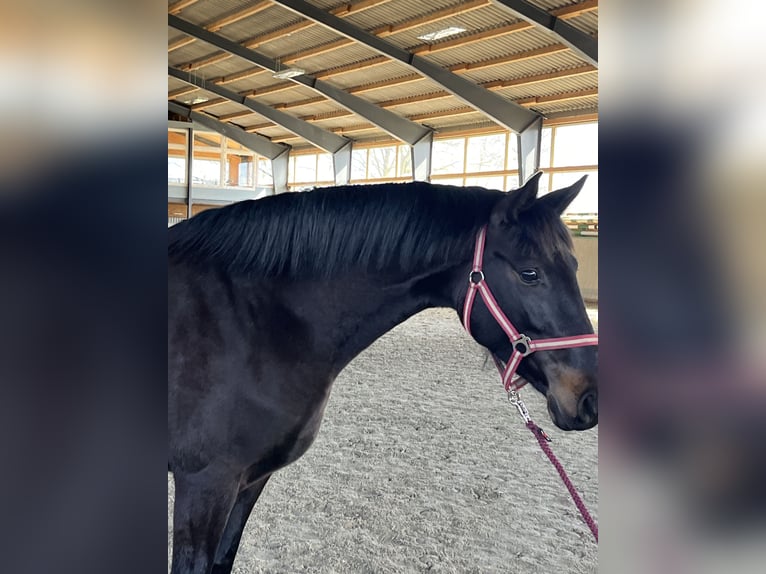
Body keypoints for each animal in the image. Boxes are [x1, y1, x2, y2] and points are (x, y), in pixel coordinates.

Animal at [168, 172, 597, 574]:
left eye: (575, 266)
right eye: (530, 274)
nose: (589, 399)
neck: (253, 320)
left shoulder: (250, 481)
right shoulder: (205, 486)